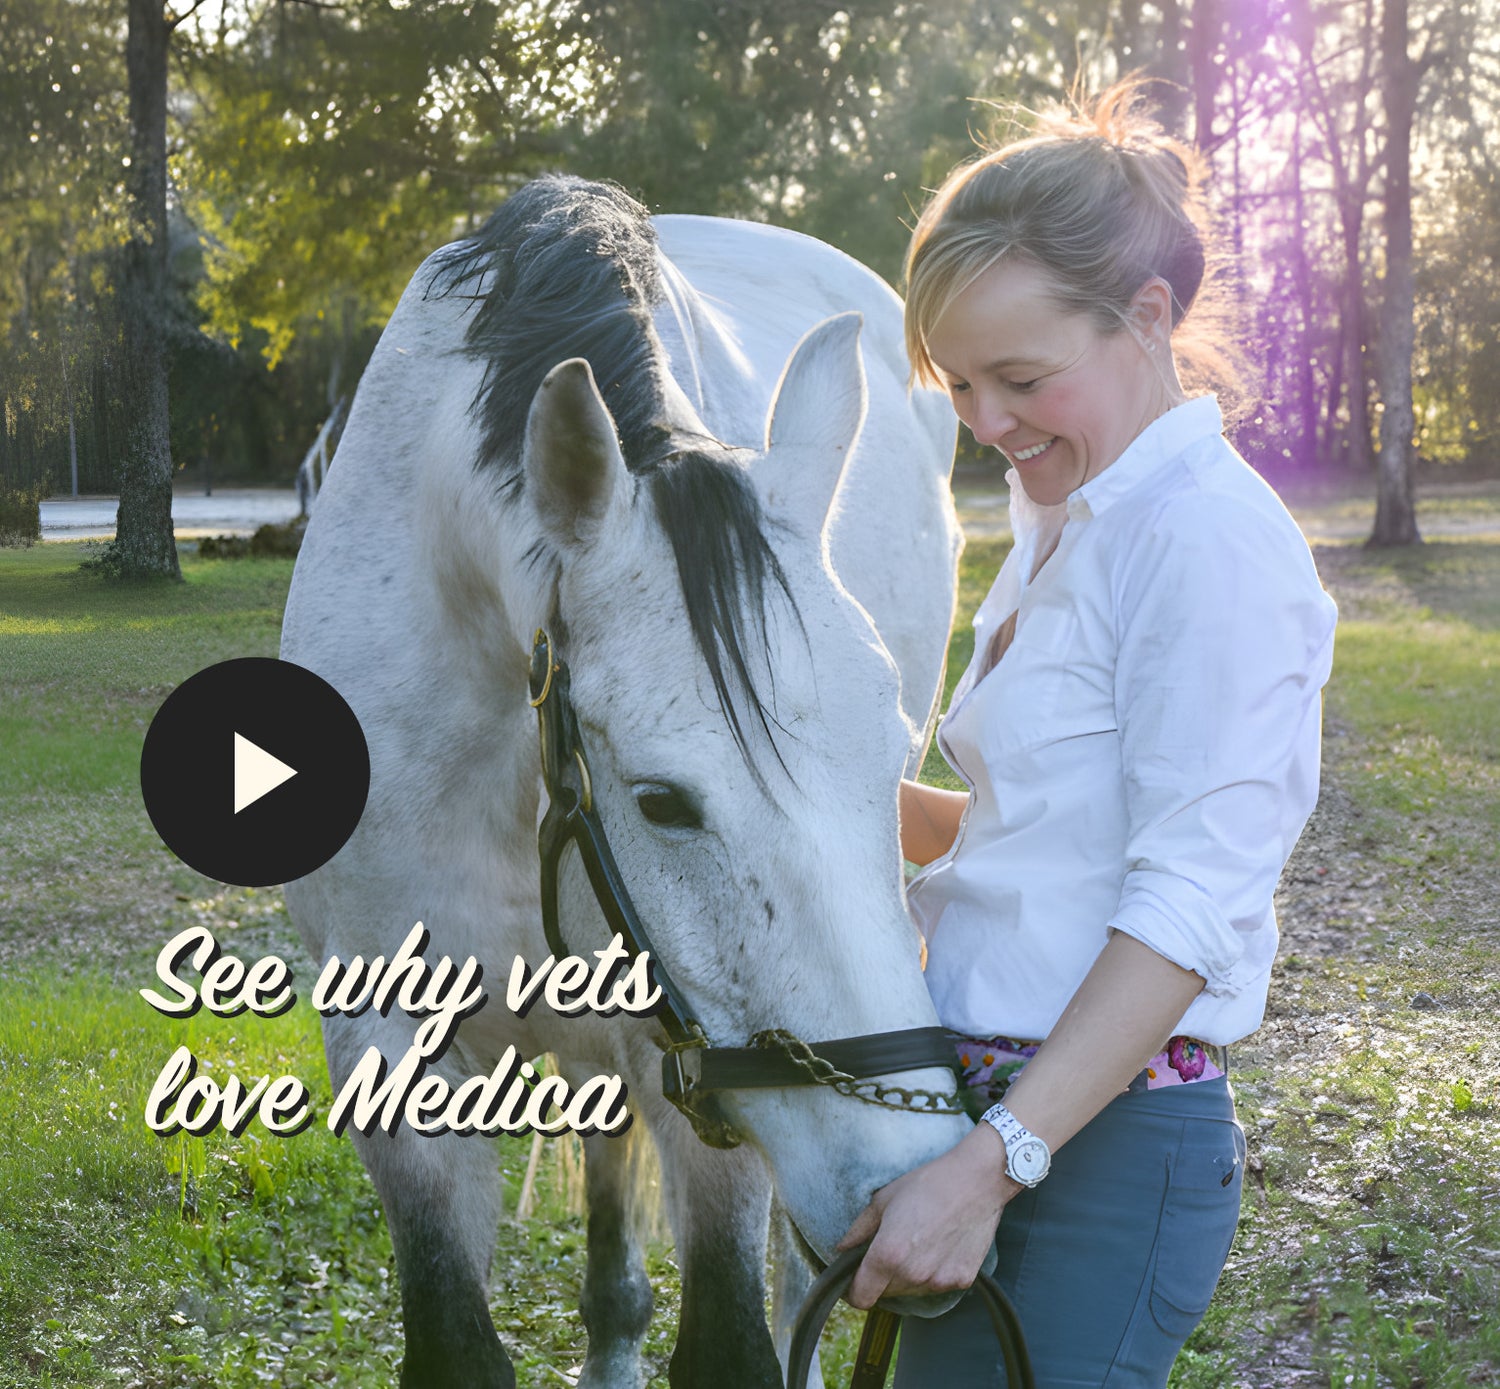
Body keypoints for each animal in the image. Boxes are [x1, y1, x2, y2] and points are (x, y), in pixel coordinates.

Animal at [280, 175, 966, 1388]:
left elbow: (737, 1340)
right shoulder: (388, 1050)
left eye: (893, 766)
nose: (915, 1186)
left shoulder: (699, 1080)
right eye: (661, 801)